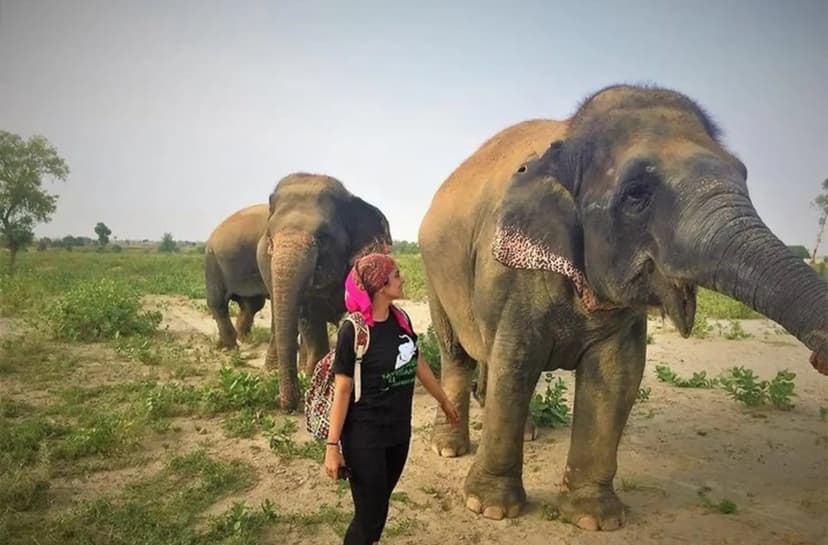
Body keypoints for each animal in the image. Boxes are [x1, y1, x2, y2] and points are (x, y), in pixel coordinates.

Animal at [418, 84, 827, 530]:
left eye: (743, 174)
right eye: (636, 196)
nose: (818, 358)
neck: (568, 137)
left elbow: (617, 374)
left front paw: (594, 519)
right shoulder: (510, 274)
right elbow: (516, 361)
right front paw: (490, 508)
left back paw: (525, 432)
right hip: (435, 273)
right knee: (458, 354)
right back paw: (449, 448)